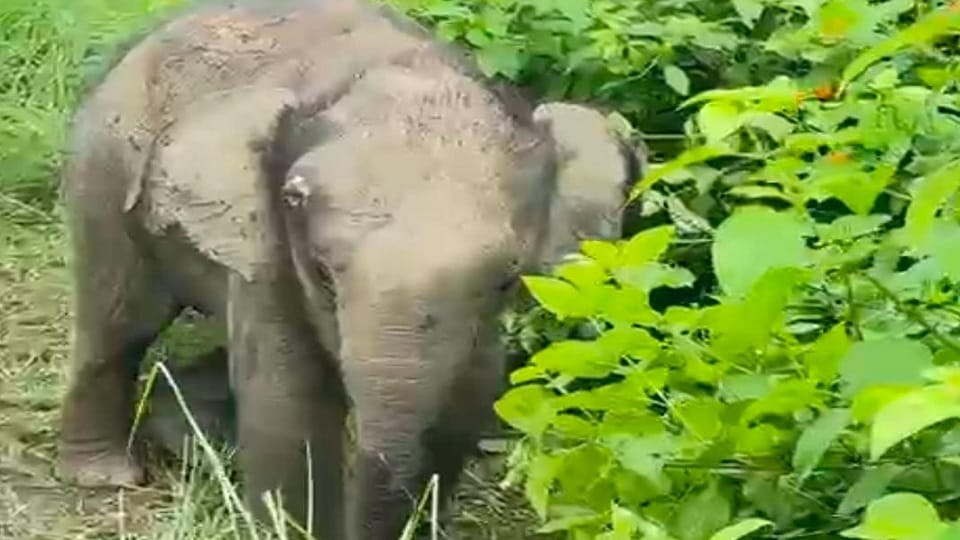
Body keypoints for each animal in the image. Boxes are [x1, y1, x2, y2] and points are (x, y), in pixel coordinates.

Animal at [56, 0, 644, 538]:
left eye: (506, 280)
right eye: (322, 273)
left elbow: (466, 400)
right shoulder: (269, 250)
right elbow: (288, 404)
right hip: (104, 165)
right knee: (119, 320)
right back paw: (107, 474)